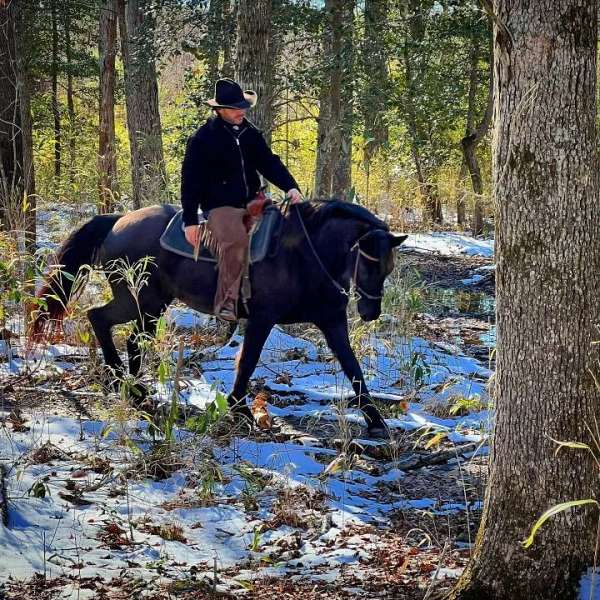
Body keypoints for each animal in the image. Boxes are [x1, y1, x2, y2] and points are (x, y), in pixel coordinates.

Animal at [34, 202, 408, 436]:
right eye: (368, 263)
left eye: (388, 268)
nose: (370, 313)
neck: (304, 254)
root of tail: (117, 220)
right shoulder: (261, 319)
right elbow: (248, 362)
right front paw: (239, 408)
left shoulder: (332, 323)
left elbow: (354, 370)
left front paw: (376, 422)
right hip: (139, 301)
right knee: (99, 318)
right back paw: (119, 379)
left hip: (151, 304)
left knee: (126, 336)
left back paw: (135, 386)